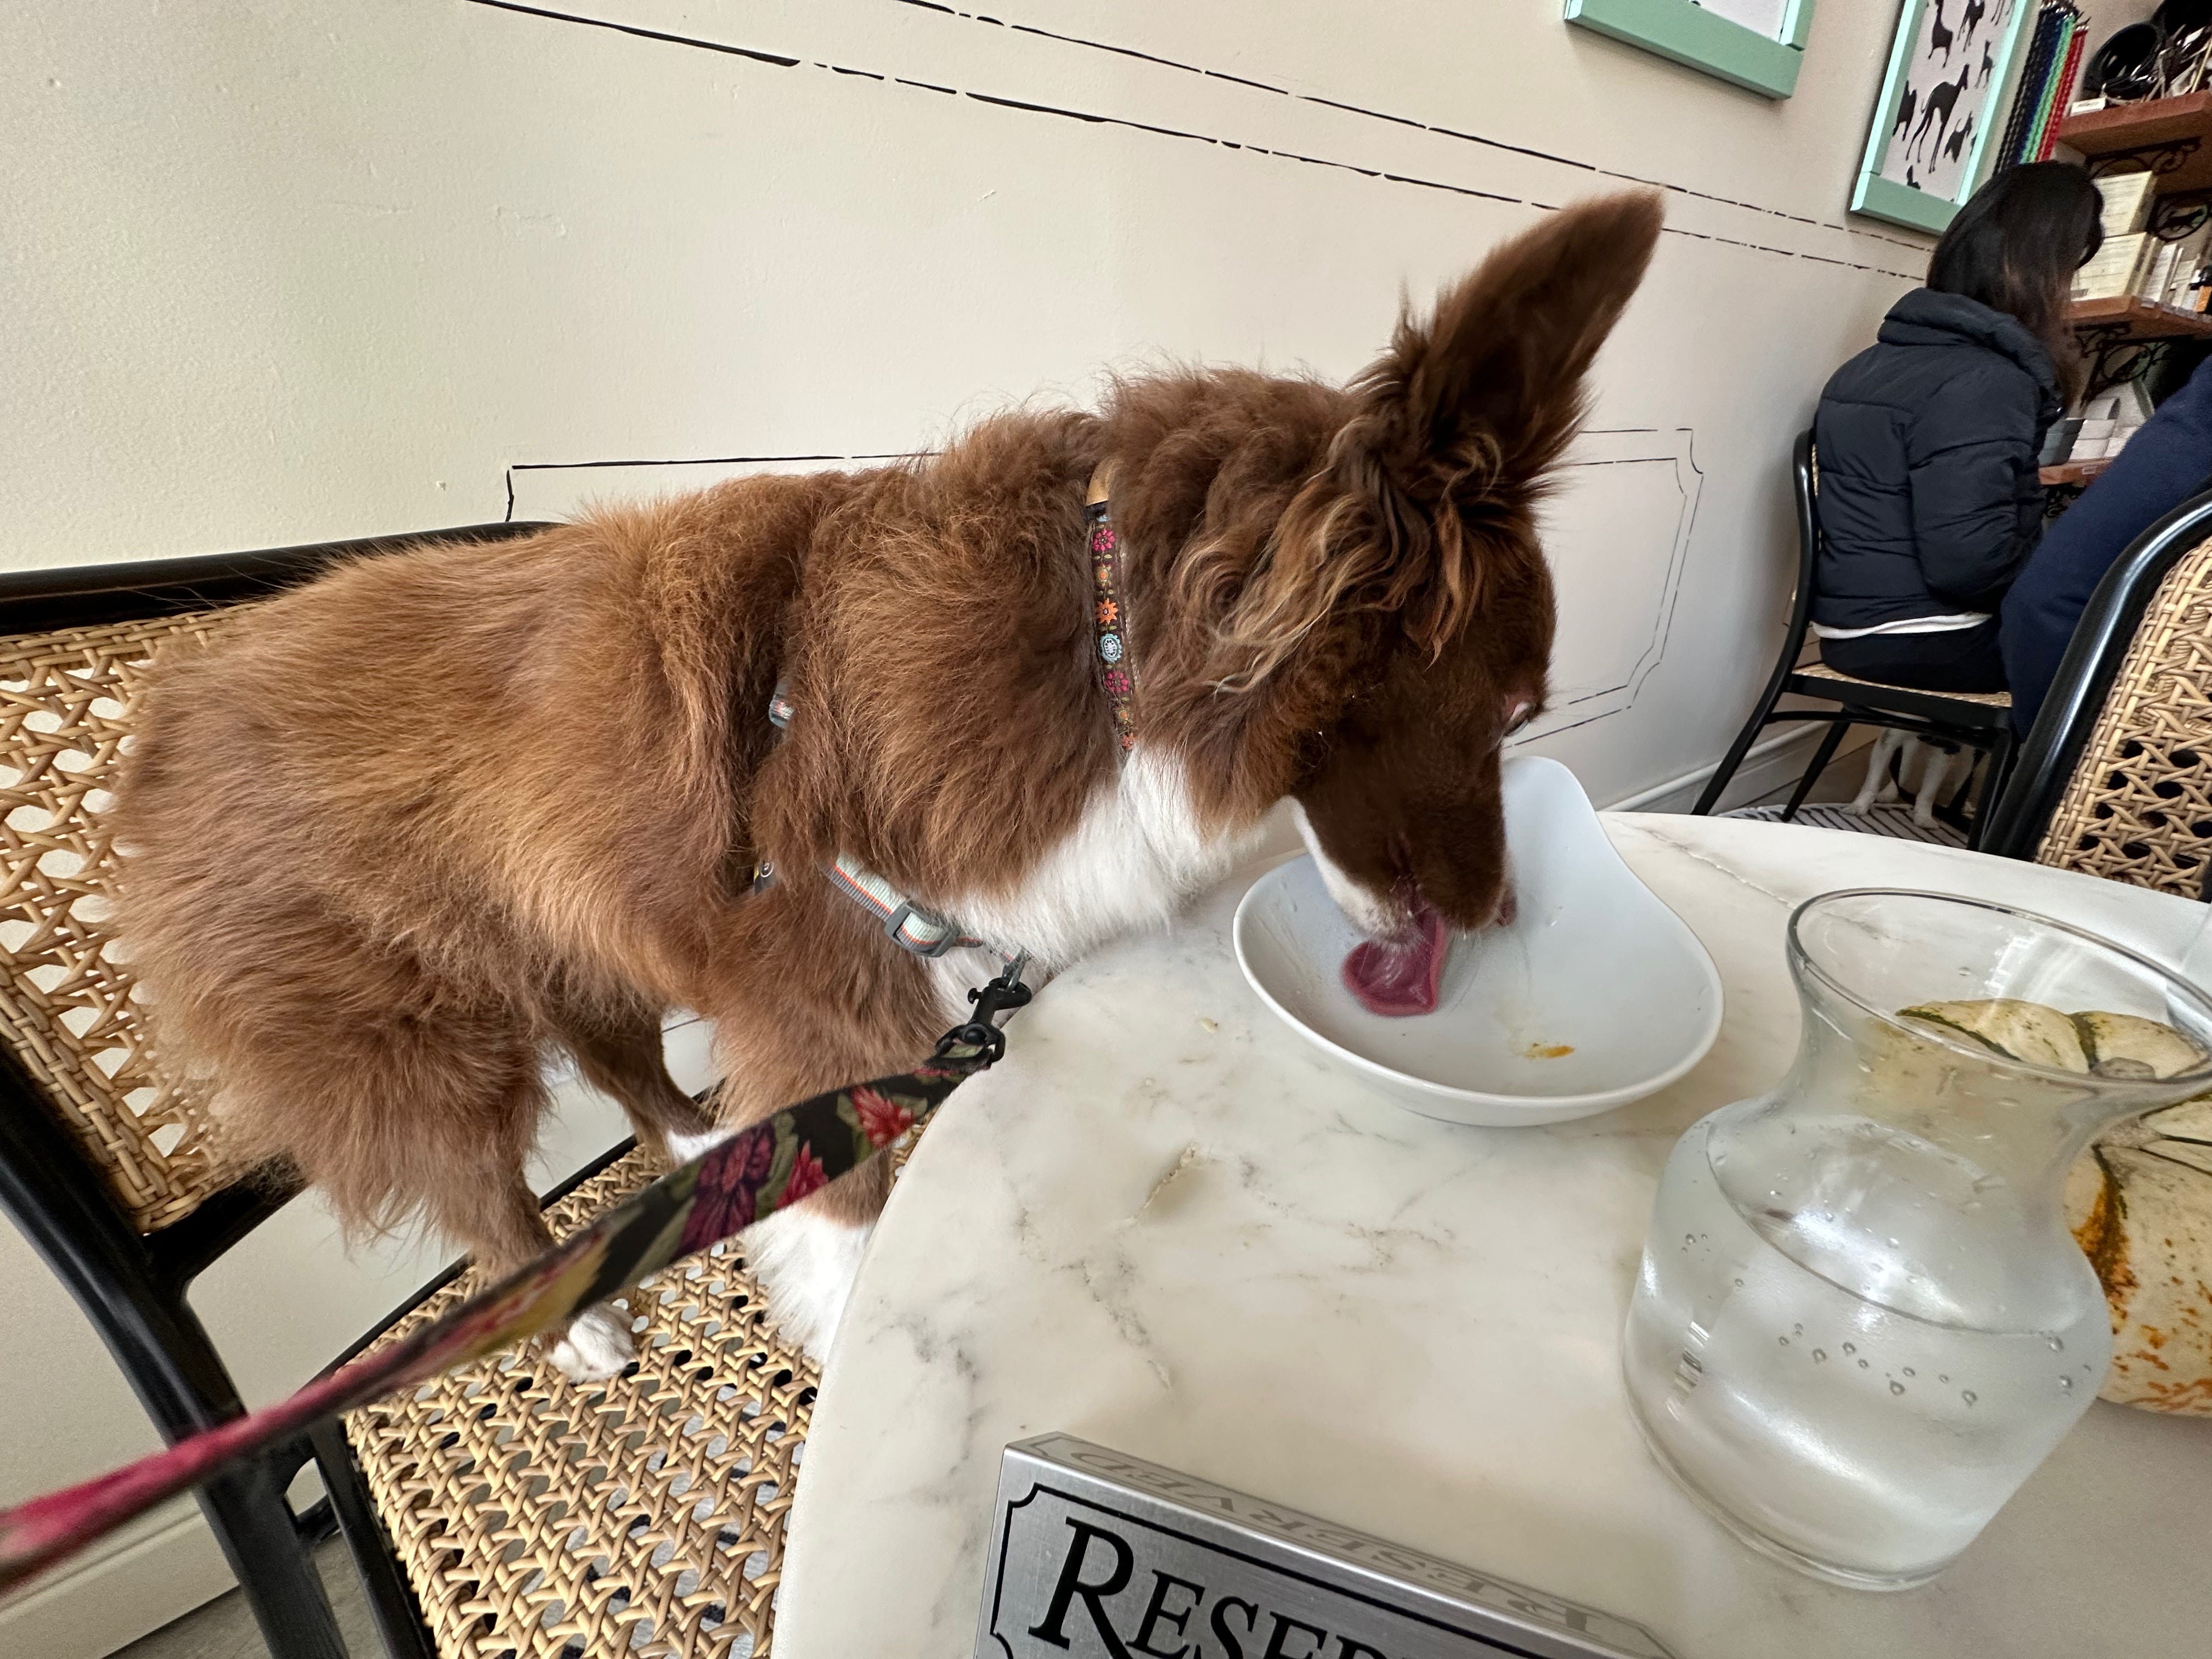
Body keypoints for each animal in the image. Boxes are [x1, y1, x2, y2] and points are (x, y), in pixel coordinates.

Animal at [108, 191, 1663, 1380]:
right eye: (1506, 713)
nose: (1502, 919)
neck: (1103, 646)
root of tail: (172, 708)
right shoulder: (823, 1004)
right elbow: (854, 1236)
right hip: (416, 1031)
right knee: (478, 1176)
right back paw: (579, 1320)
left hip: (568, 929)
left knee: (623, 1060)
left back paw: (703, 1141)